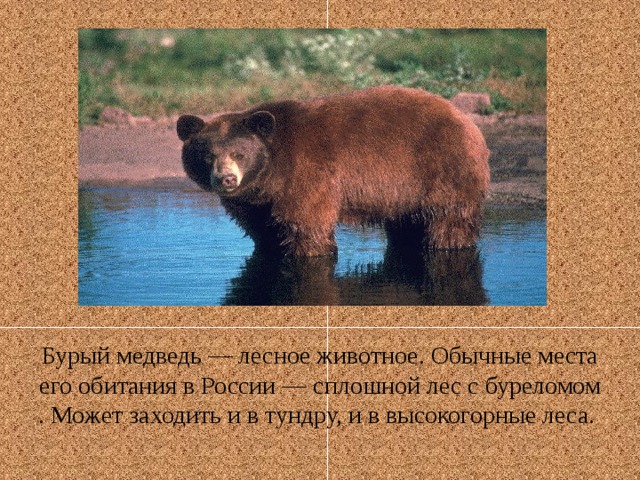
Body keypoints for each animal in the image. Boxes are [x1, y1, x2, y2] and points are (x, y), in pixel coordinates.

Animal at [177, 86, 490, 257]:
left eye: (239, 154)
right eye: (207, 155)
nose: (226, 178)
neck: (272, 172)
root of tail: (466, 120)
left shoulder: (306, 174)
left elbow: (306, 223)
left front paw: (308, 249)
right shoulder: (256, 201)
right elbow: (262, 229)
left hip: (443, 169)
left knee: (448, 218)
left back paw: (447, 244)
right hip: (405, 191)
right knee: (407, 222)